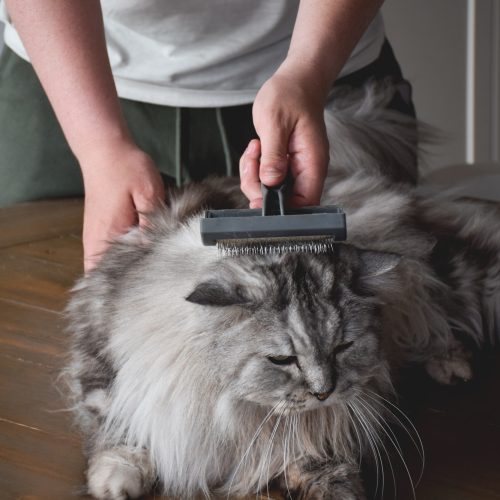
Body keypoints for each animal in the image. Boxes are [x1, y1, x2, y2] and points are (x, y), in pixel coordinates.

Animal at [63, 80, 500, 498]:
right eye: (282, 359)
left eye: (343, 347)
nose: (325, 392)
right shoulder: (103, 366)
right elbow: (116, 425)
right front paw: (116, 479)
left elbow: (317, 453)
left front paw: (337, 488)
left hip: (446, 274)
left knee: (449, 310)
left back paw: (453, 365)